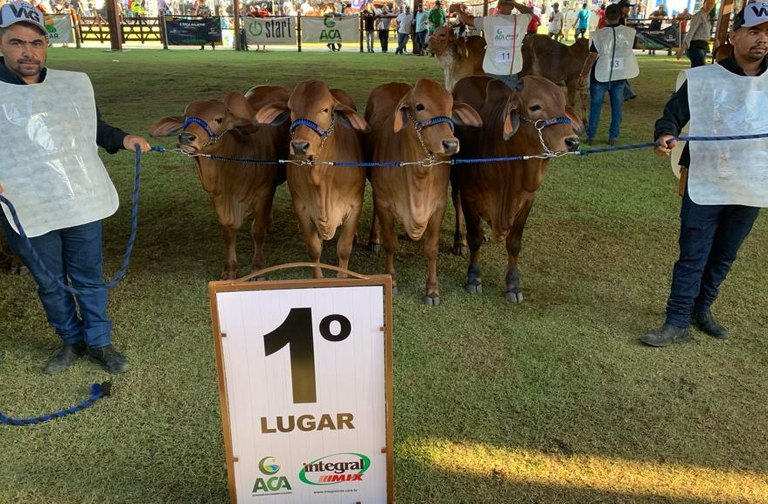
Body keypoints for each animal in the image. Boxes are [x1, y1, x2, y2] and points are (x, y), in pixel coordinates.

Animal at [148, 86, 290, 280]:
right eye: (185, 118)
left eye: (219, 119)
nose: (186, 138)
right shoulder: (218, 198)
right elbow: (228, 233)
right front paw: (230, 270)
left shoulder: (264, 193)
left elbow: (257, 231)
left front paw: (258, 268)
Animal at [252, 80, 366, 282]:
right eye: (291, 109)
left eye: (326, 109)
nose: (299, 146)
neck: (321, 178)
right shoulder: (302, 207)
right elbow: (314, 249)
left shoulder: (355, 205)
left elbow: (344, 249)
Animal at [364, 79, 480, 306]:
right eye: (419, 106)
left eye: (450, 107)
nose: (451, 144)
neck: (418, 175)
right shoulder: (384, 204)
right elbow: (391, 245)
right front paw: (392, 282)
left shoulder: (438, 206)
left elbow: (432, 249)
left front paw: (432, 290)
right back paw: (375, 239)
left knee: (458, 200)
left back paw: (459, 242)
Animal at [450, 75, 584, 304]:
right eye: (535, 106)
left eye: (562, 105)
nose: (572, 141)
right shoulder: (469, 195)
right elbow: (474, 238)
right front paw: (473, 277)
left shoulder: (527, 200)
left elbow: (514, 243)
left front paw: (513, 284)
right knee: (456, 202)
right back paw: (460, 240)